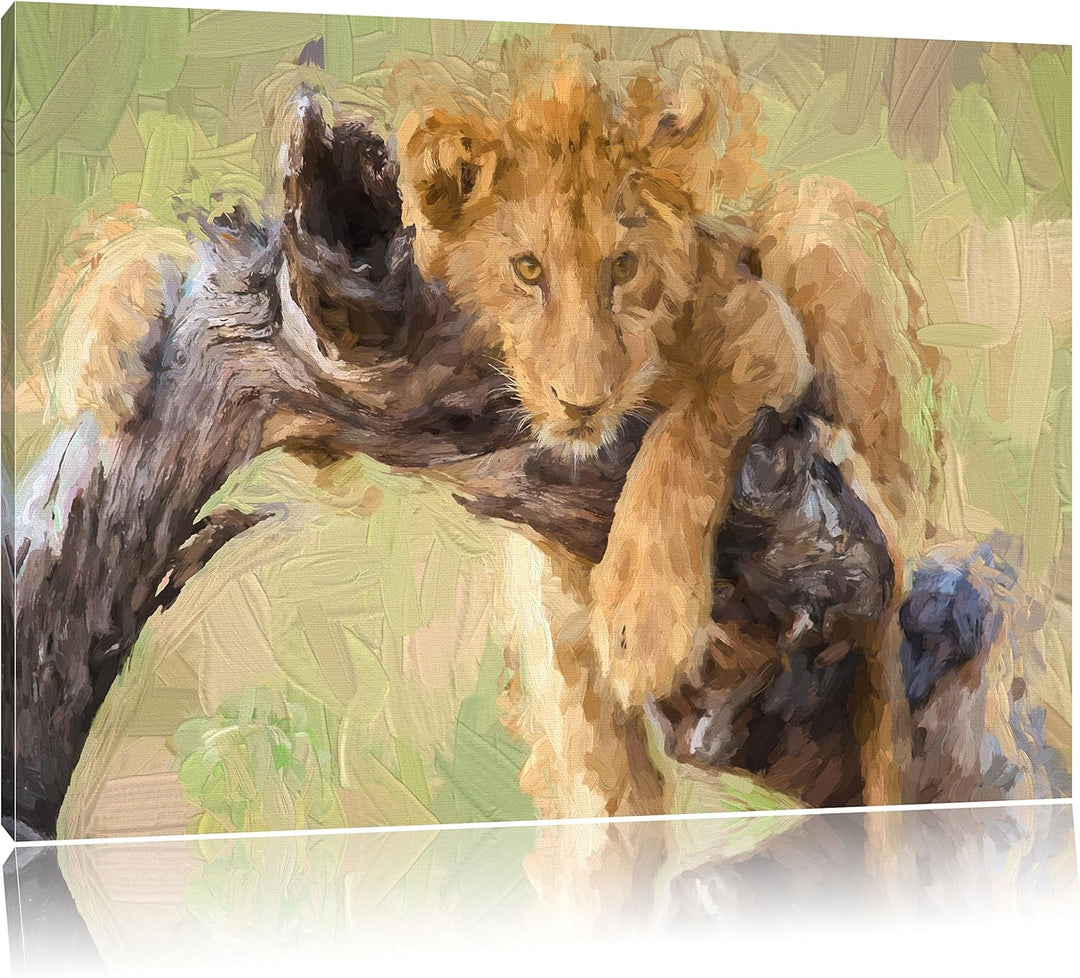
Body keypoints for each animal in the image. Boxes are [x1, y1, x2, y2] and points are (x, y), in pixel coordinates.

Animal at [392, 38, 946, 815]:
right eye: (526, 268)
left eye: (623, 267)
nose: (582, 402)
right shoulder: (567, 685)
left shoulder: (764, 331)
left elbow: (683, 438)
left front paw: (645, 627)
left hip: (818, 218)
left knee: (899, 523)